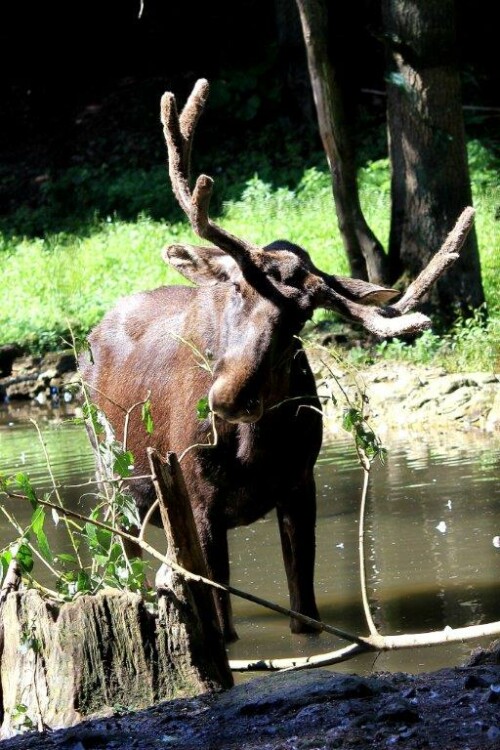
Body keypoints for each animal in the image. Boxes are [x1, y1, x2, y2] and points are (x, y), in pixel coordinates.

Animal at [81, 76, 472, 644]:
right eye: (237, 286)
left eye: (303, 314)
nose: (230, 396)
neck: (253, 451)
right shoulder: (198, 498)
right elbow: (222, 624)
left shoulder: (300, 486)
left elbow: (305, 615)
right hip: (113, 478)